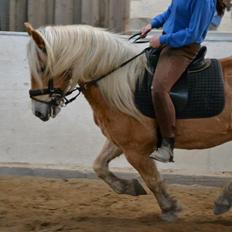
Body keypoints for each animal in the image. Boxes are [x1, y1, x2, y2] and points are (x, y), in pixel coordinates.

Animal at [24, 23, 231, 221]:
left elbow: (152, 179)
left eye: (42, 68)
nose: (38, 111)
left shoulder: (136, 150)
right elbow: (99, 166)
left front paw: (169, 208)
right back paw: (224, 200)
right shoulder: (120, 142)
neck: (121, 85)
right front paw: (130, 187)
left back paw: (223, 200)